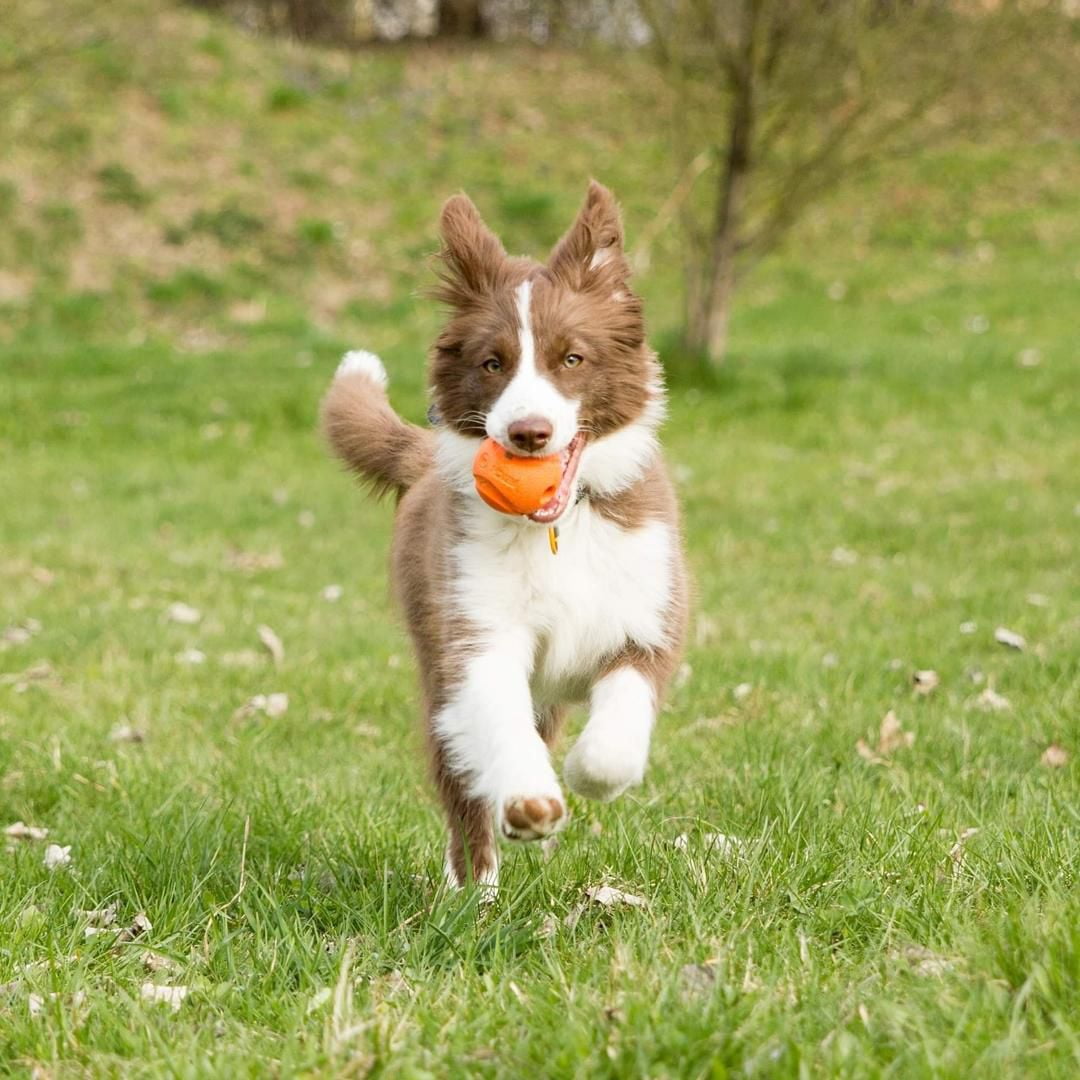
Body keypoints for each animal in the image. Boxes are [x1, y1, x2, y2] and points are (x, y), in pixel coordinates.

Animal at [324, 181, 686, 885]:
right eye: (493, 363)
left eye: (571, 358)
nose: (528, 434)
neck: (561, 527)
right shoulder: (473, 628)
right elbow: (498, 720)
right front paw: (530, 801)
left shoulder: (648, 612)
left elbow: (620, 719)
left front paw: (589, 776)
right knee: (461, 781)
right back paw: (475, 888)